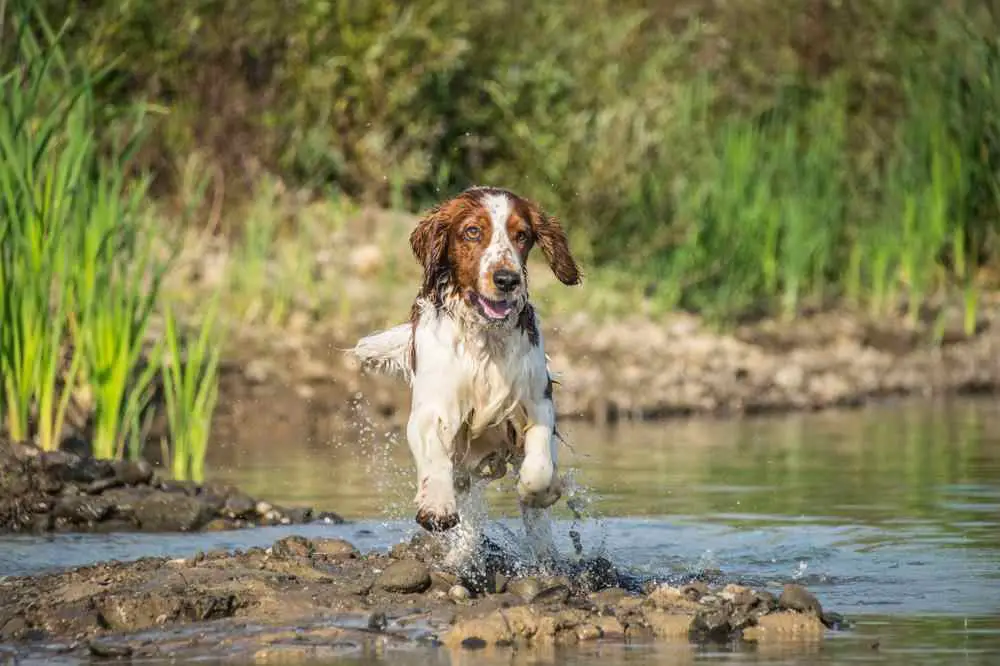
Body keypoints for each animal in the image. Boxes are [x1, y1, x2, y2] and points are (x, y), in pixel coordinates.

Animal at [352, 184, 584, 564]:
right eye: (472, 231)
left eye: (522, 235)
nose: (507, 279)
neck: (484, 338)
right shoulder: (433, 408)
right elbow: (435, 458)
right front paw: (436, 507)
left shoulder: (537, 401)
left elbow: (538, 466)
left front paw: (539, 491)